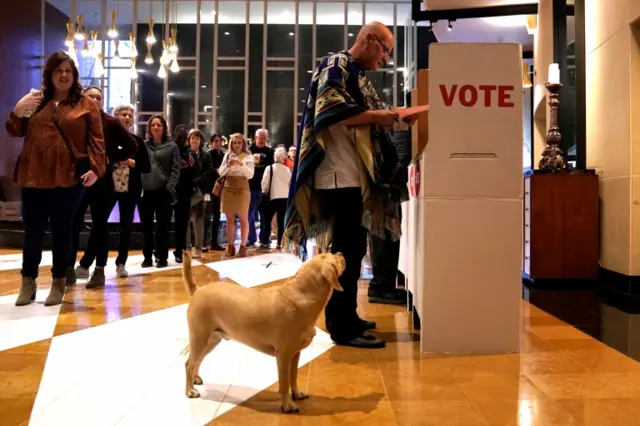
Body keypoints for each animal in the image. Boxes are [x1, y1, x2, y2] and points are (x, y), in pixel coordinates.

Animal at [180, 250, 344, 412]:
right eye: (333, 257)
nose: (341, 253)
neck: (302, 294)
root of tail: (197, 290)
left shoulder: (295, 354)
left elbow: (294, 377)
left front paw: (296, 394)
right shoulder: (283, 355)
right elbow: (284, 383)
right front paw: (287, 404)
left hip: (211, 340)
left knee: (197, 360)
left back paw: (195, 378)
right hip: (199, 338)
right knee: (188, 364)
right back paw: (189, 390)